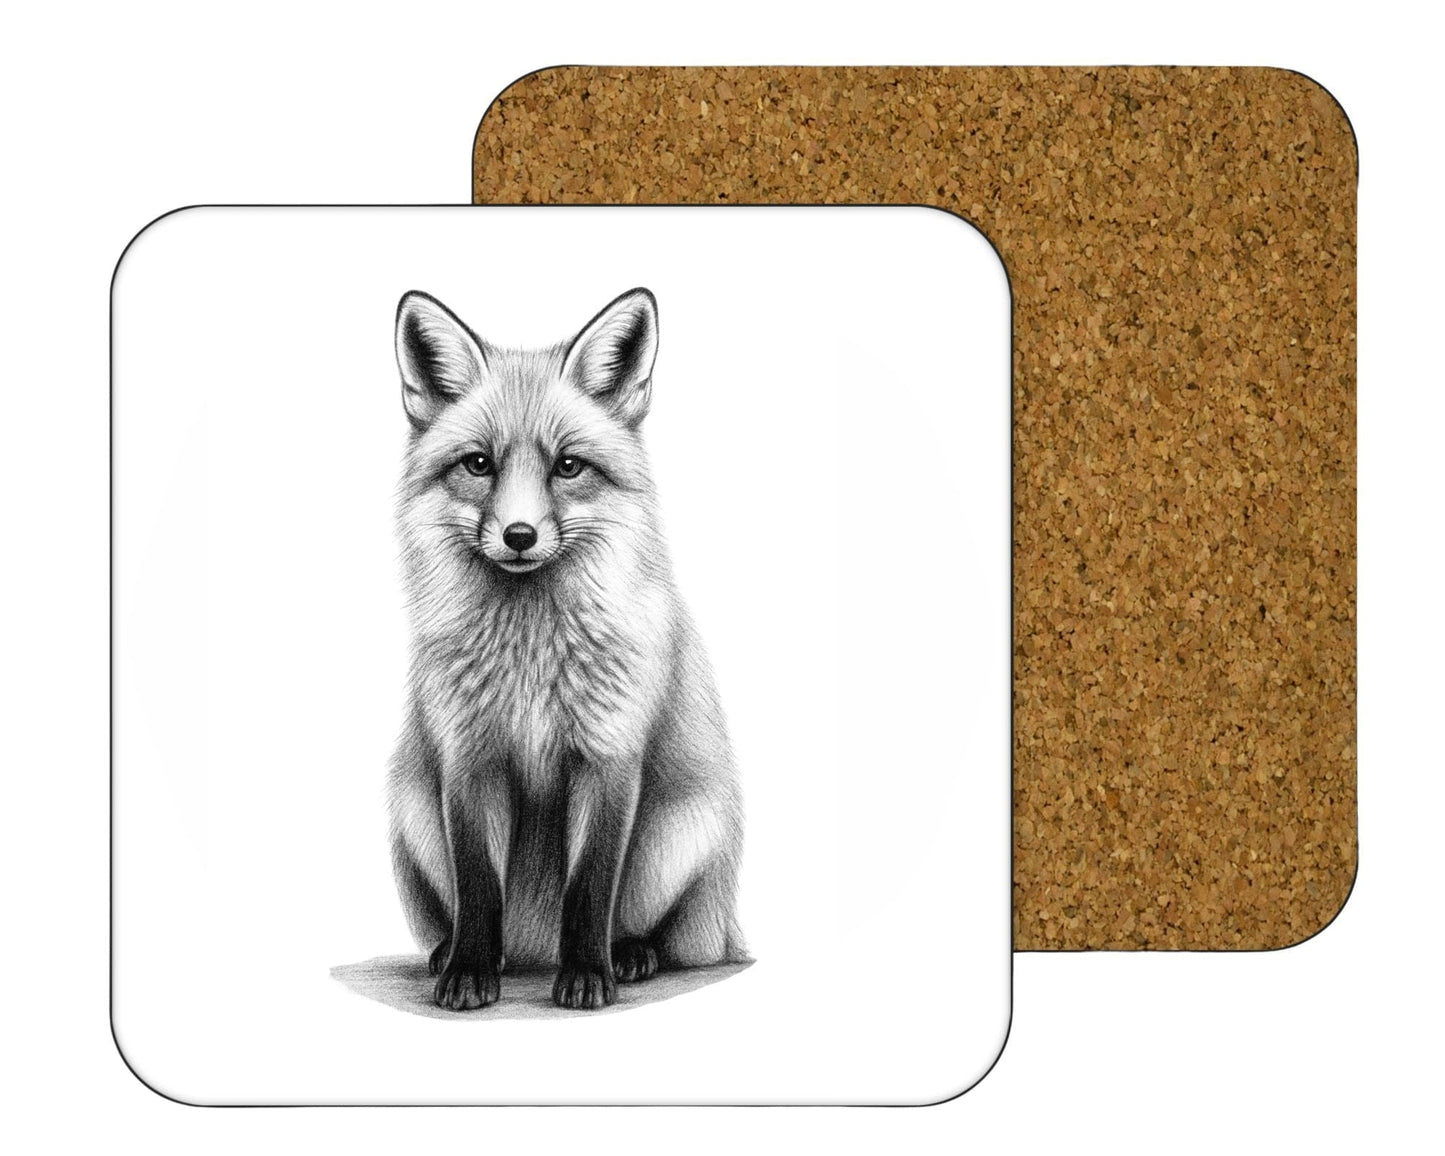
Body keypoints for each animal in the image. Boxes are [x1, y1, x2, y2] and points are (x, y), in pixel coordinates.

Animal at [387, 286, 747, 1011]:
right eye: (479, 464)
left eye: (568, 466)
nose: (520, 535)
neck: (530, 658)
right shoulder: (468, 758)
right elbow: (477, 885)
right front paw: (469, 972)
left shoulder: (609, 757)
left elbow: (590, 887)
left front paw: (585, 977)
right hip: (411, 809)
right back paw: (458, 955)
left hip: (677, 835)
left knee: (673, 941)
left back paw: (629, 954)